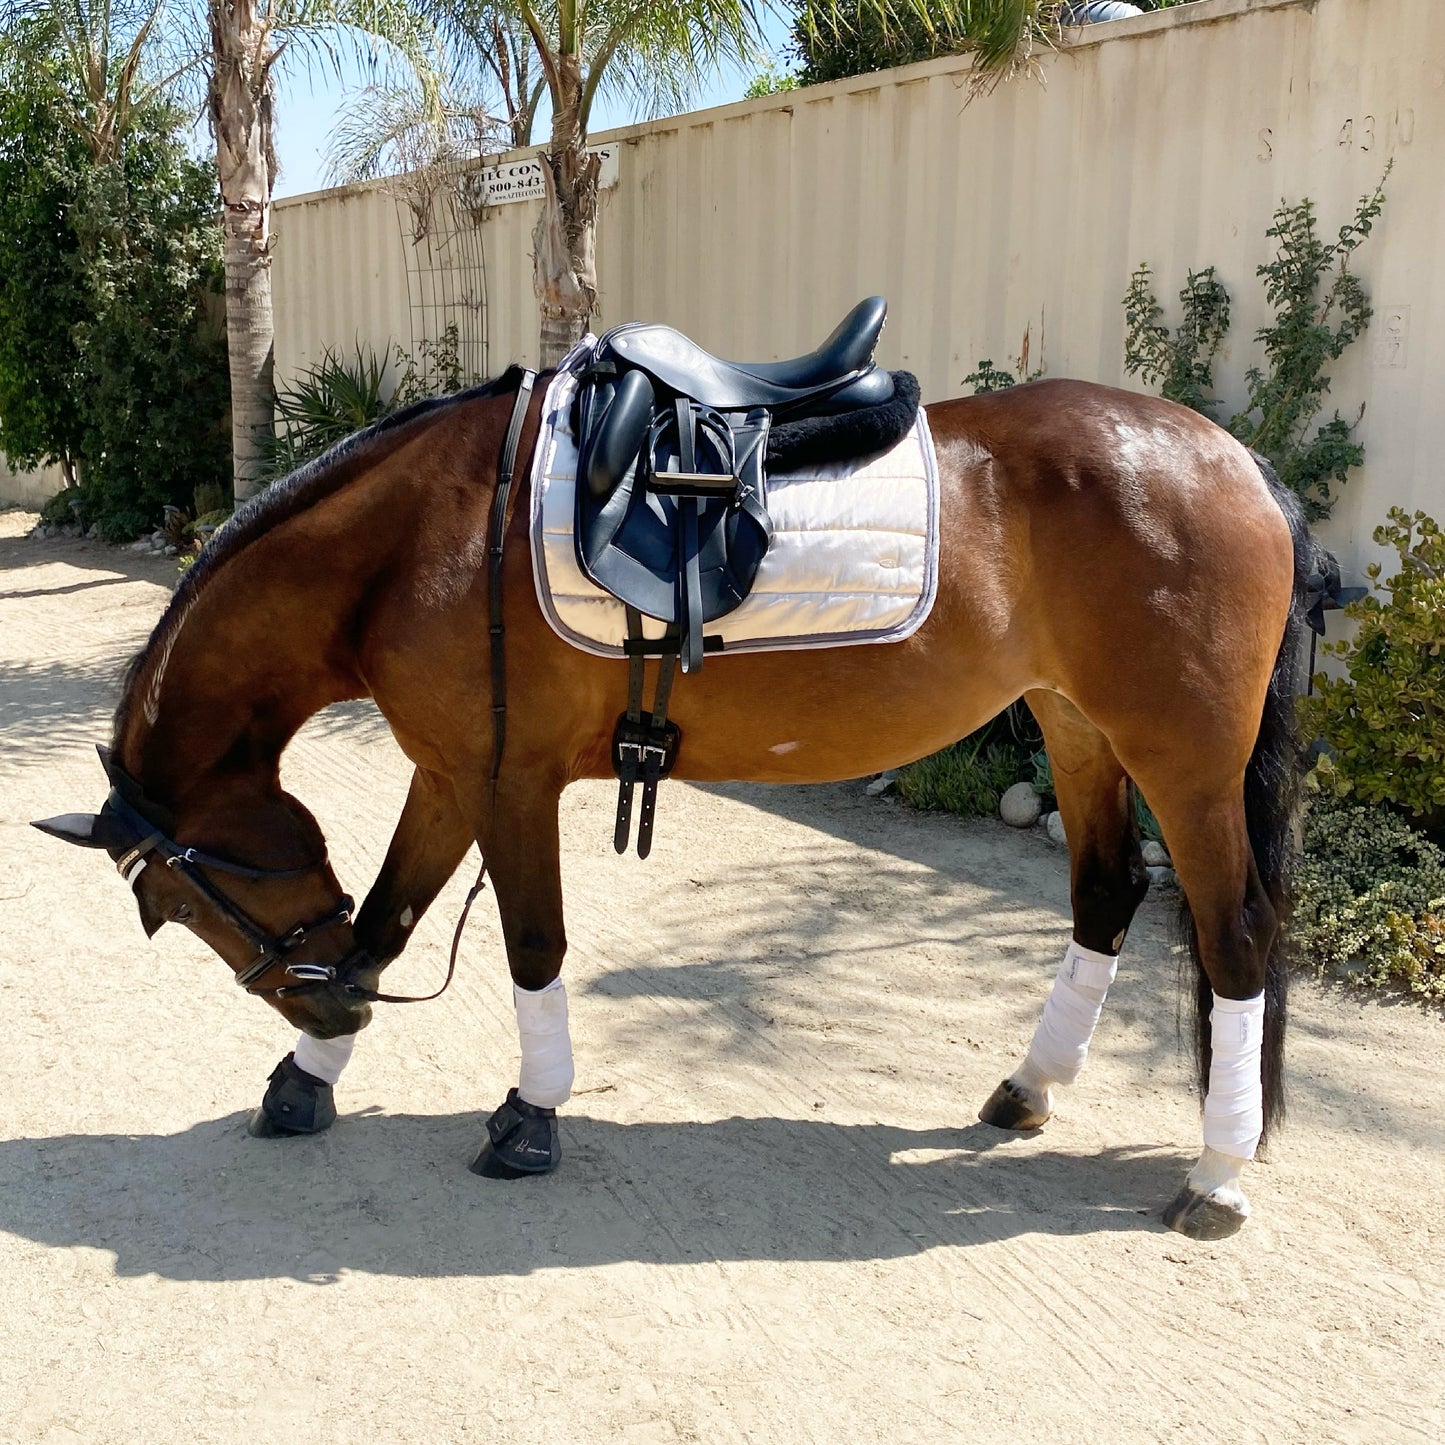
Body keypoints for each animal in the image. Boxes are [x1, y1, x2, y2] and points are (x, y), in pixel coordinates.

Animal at [42, 361, 1312, 1242]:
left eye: (179, 899)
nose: (317, 1007)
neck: (418, 544)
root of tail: (1239, 463)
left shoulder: (506, 780)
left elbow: (530, 944)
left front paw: (527, 1116)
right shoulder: (450, 771)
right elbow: (385, 921)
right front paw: (307, 1080)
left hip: (1181, 757)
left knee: (1232, 931)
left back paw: (1213, 1172)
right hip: (1074, 724)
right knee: (1105, 893)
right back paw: (1031, 1086)